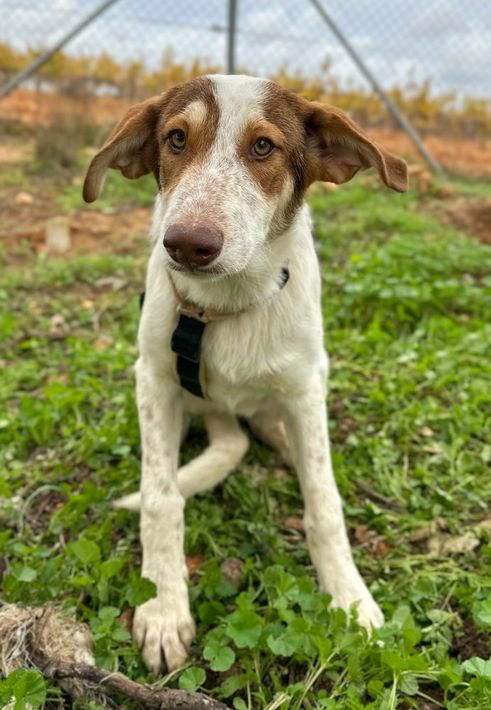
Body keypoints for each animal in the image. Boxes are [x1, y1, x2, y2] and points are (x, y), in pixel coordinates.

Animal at [83, 74, 407, 674]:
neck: (225, 305)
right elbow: (160, 497)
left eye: (263, 146)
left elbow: (324, 504)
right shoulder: (155, 379)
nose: (188, 243)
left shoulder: (306, 389)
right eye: (176, 138)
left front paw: (351, 600)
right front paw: (162, 608)